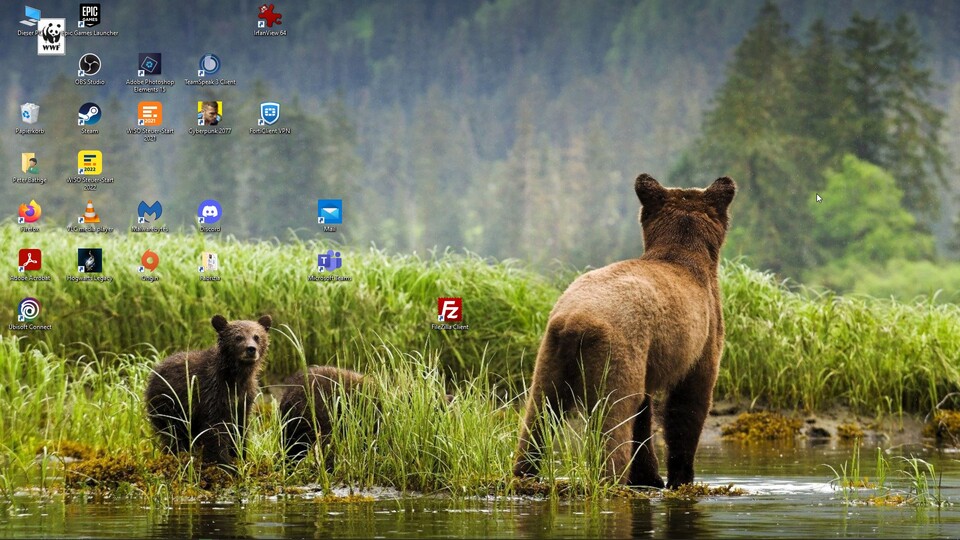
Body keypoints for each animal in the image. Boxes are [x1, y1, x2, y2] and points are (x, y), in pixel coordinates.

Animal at [145, 314, 272, 465]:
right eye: (238, 337)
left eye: (257, 336)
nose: (251, 349)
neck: (235, 376)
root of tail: (154, 371)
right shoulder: (212, 393)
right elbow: (215, 429)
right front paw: (224, 461)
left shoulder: (244, 397)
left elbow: (240, 427)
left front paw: (240, 455)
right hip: (168, 404)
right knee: (173, 432)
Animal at [513, 174, 736, 489]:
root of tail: (576, 320)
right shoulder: (703, 333)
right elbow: (688, 401)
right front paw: (680, 478)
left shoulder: (650, 357)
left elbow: (645, 411)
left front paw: (649, 476)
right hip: (618, 352)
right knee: (614, 418)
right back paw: (611, 478)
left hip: (551, 354)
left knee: (540, 412)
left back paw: (525, 472)